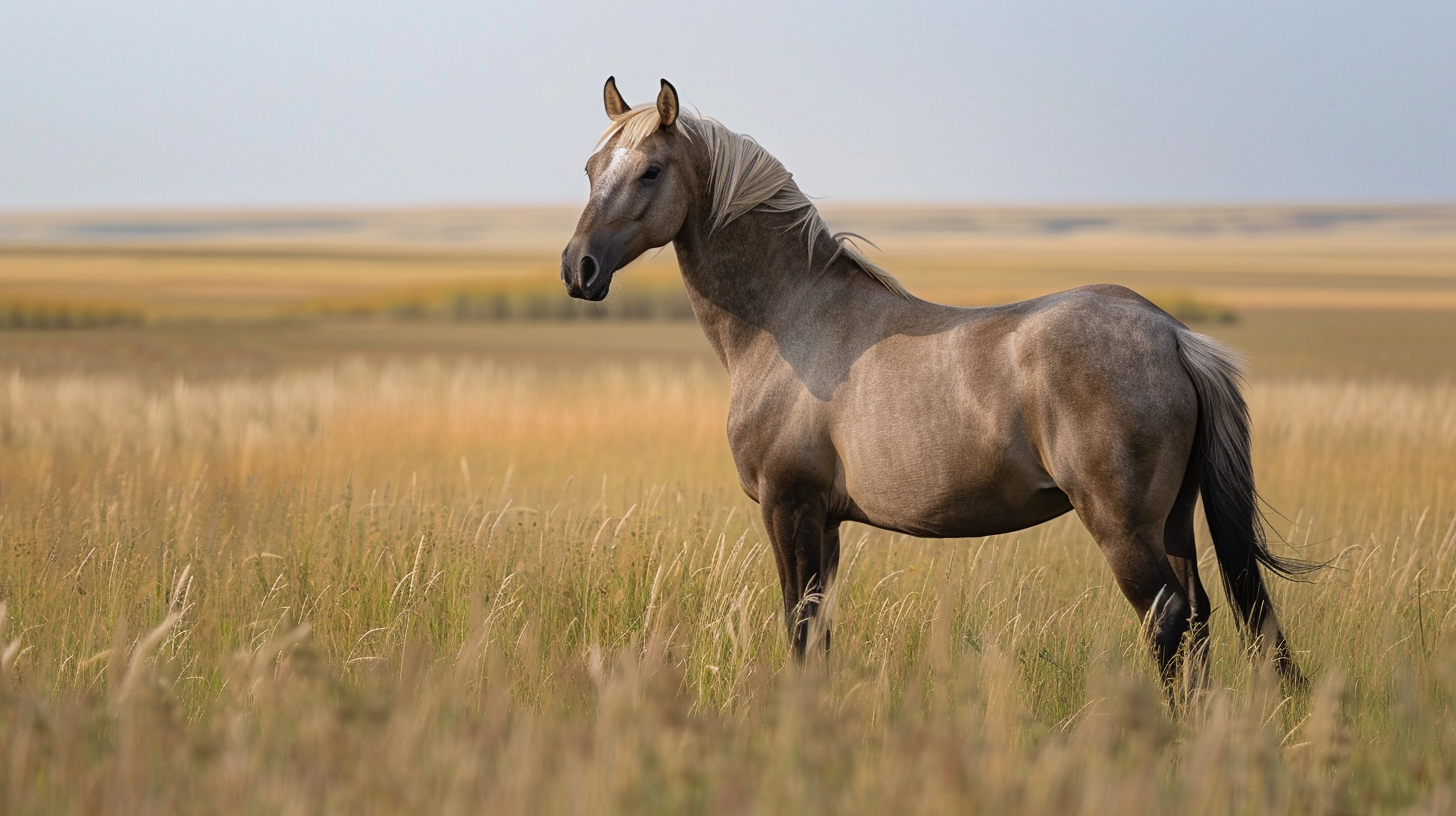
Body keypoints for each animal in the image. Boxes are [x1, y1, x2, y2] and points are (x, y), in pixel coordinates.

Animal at [562, 77, 1311, 691]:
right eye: (593, 168)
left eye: (651, 170)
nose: (578, 268)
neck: (789, 319)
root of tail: (1171, 335)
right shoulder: (825, 521)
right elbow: (820, 630)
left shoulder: (787, 507)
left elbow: (799, 626)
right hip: (1173, 523)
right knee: (1202, 619)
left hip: (1123, 529)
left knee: (1169, 619)